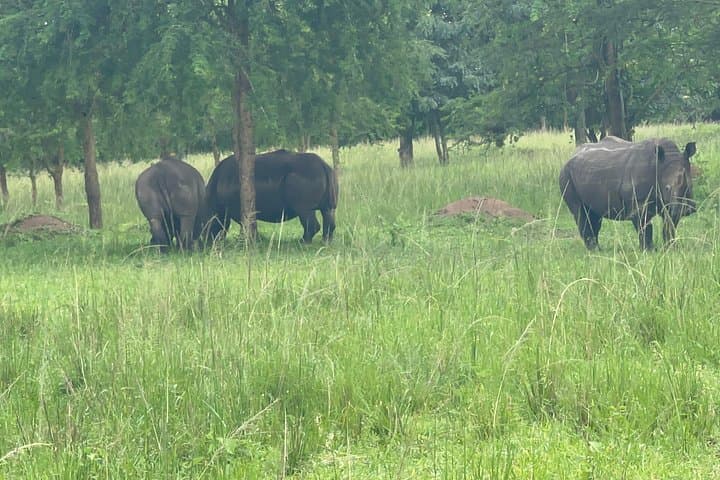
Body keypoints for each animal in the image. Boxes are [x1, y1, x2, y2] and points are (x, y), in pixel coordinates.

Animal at [205, 149, 338, 243]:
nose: (209, 242)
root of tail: (323, 165)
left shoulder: (235, 209)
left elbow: (244, 223)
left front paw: (251, 240)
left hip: (305, 178)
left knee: (305, 212)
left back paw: (303, 242)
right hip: (327, 176)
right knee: (328, 211)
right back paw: (325, 242)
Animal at [559, 136, 696, 250]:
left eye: (690, 186)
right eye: (667, 188)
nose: (686, 210)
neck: (660, 165)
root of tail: (571, 156)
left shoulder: (669, 202)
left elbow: (670, 225)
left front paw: (671, 248)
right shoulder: (638, 202)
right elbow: (645, 226)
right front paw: (649, 250)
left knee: (594, 215)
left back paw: (598, 249)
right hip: (566, 175)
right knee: (581, 213)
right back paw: (594, 251)